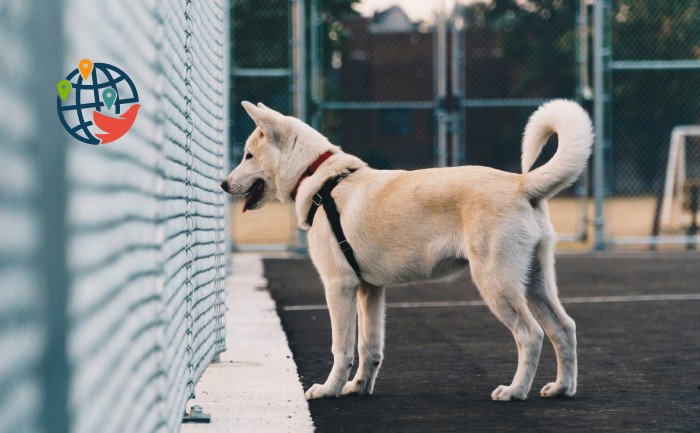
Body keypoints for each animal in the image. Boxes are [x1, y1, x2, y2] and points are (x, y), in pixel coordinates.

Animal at [223, 99, 592, 400]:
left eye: (248, 155)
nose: (223, 184)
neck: (319, 180)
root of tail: (521, 184)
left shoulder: (339, 286)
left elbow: (341, 347)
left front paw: (329, 389)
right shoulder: (370, 290)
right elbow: (369, 346)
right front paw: (358, 387)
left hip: (497, 284)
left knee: (530, 335)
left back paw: (515, 391)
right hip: (534, 283)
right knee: (564, 328)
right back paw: (562, 388)